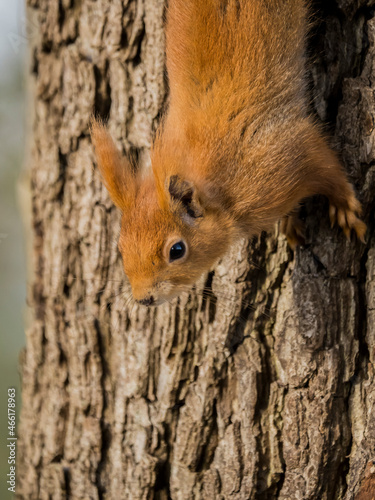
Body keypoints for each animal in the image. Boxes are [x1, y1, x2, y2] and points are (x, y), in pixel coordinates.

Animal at [90, 0, 368, 304]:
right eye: (120, 248)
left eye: (177, 250)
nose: (143, 298)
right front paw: (291, 221)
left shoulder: (285, 149)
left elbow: (327, 166)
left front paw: (344, 206)